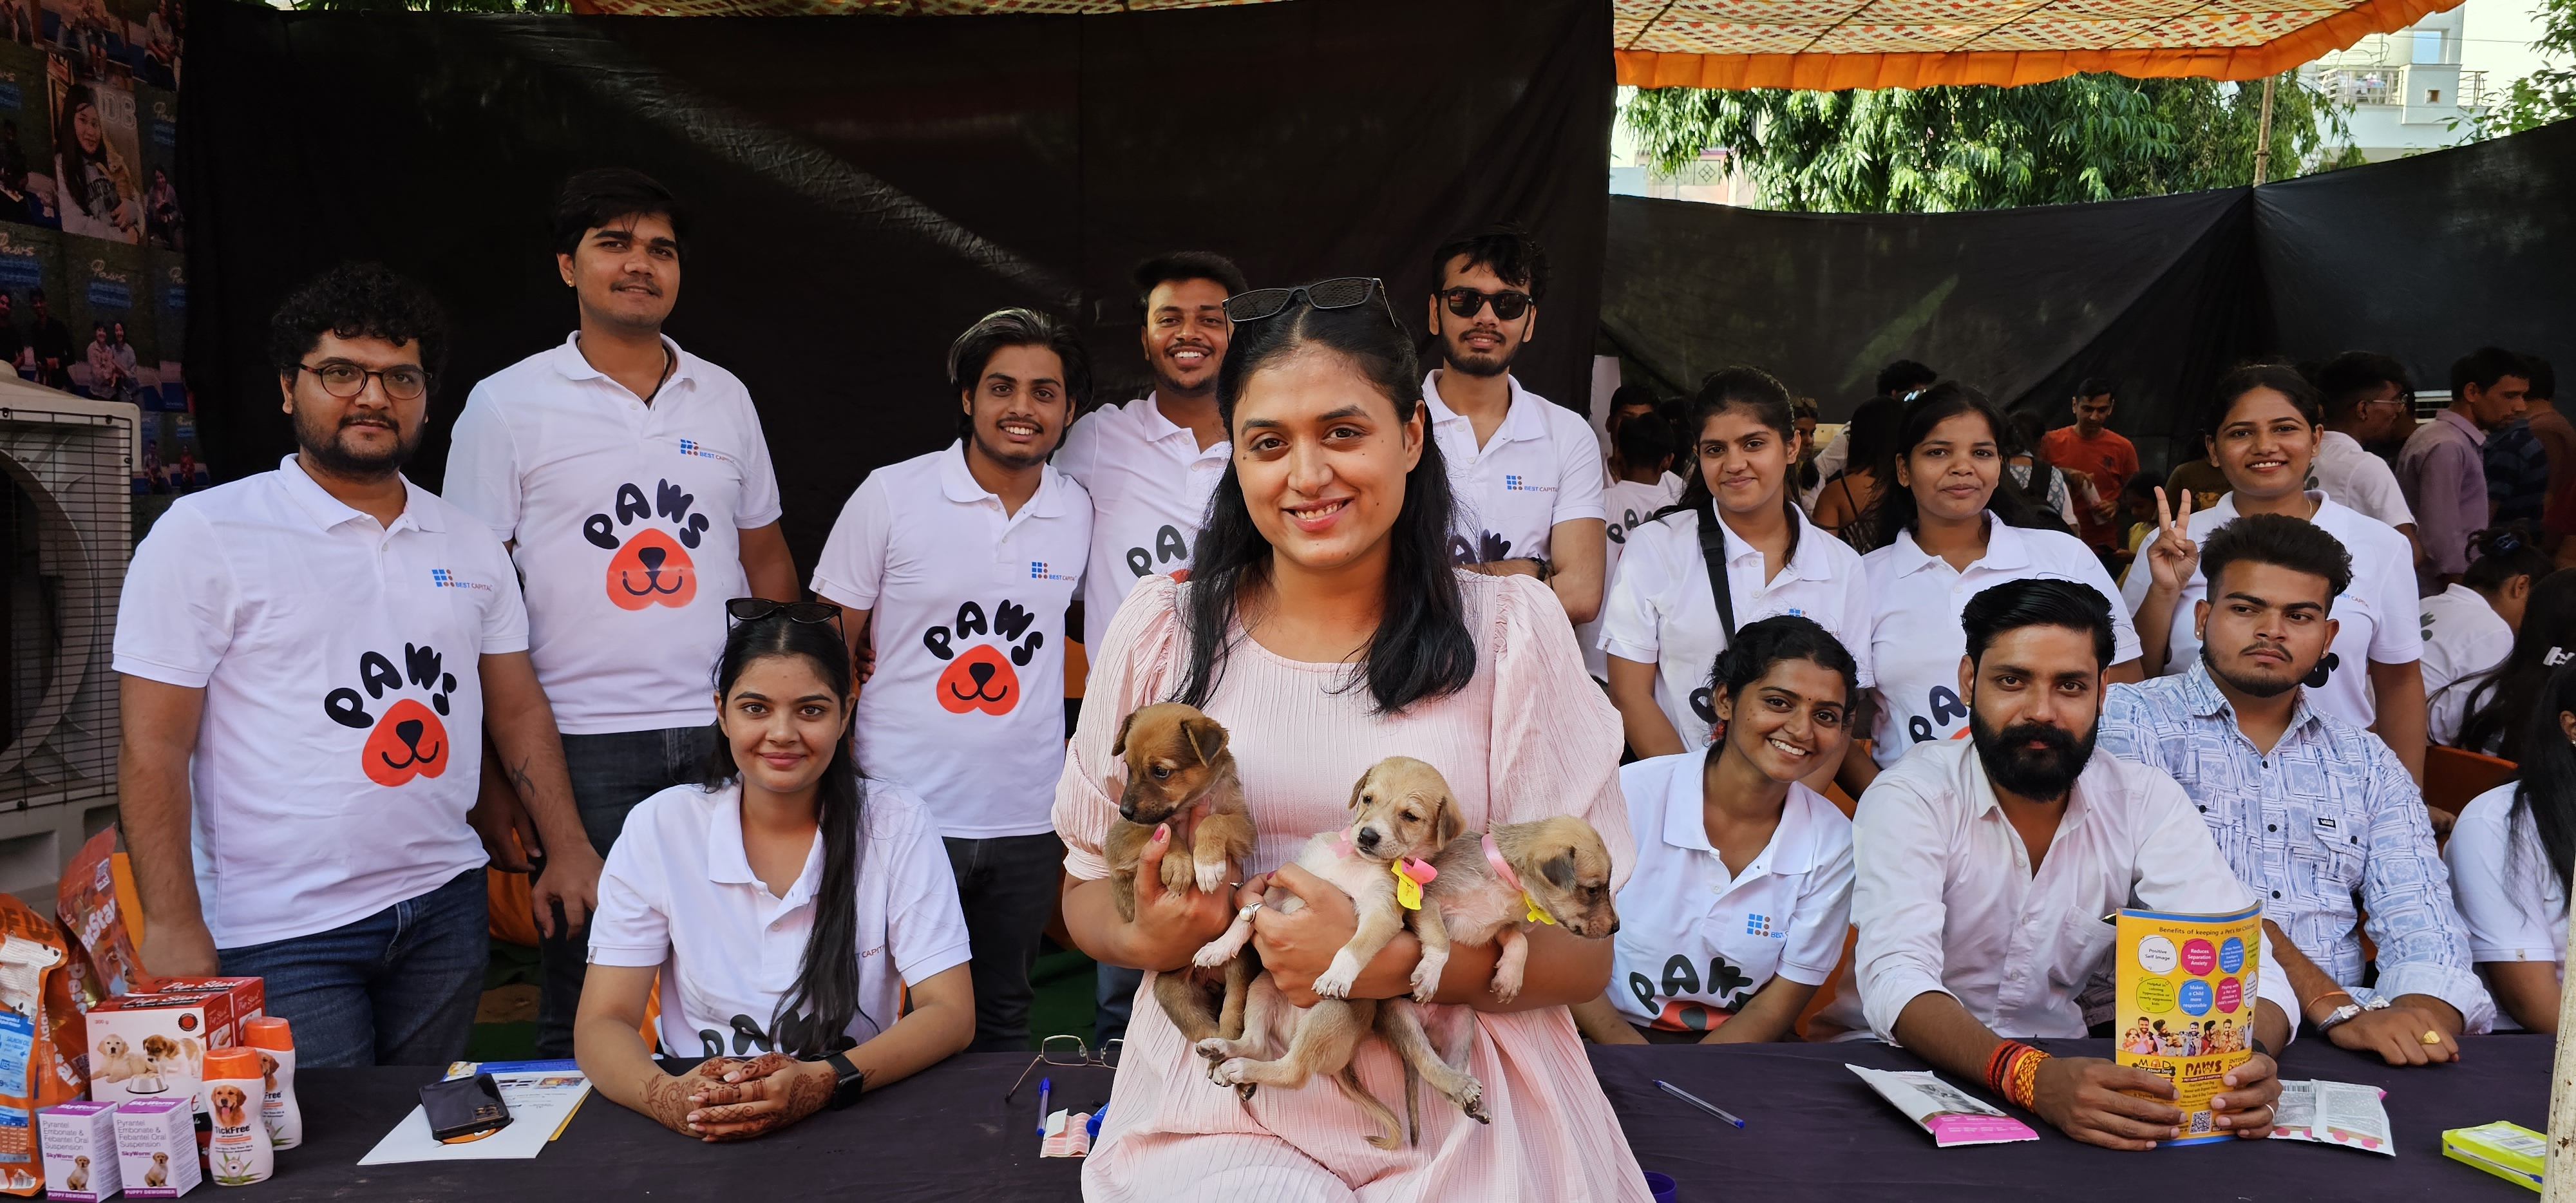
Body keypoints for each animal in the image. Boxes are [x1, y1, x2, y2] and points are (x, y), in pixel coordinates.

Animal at [1097, 701, 1257, 1051]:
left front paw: (1207, 864)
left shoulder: (1242, 826)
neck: (1190, 803)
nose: (1124, 811)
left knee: (1233, 1014)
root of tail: (1207, 980)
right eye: (1128, 767)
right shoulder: (1123, 838)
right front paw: (1181, 865)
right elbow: (1165, 829)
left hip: (1237, 967)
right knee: (1199, 1029)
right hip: (1171, 991)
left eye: (1161, 771)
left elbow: (1214, 821)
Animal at [1190, 757, 1463, 1154]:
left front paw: (1336, 974)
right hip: (1262, 988)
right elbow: (1246, 917)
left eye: (1410, 816)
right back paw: (1222, 1047)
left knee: (1292, 1072)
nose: (1367, 836)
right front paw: (1219, 947)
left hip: (1326, 1016)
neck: (1353, 862)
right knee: (1256, 1043)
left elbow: (1356, 946)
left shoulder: (1382, 911)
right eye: (1367, 798)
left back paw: (1240, 1067)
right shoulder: (1280, 886)